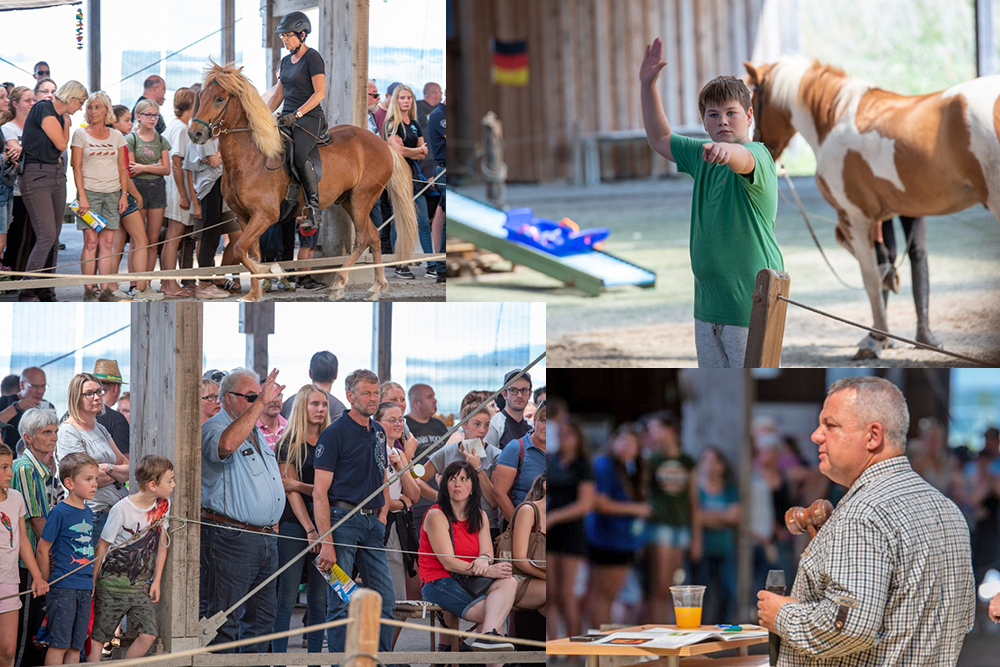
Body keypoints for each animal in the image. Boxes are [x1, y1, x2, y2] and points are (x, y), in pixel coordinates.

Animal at [188, 62, 418, 302]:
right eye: (201, 96)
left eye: (219, 99)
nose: (196, 133)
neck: (252, 157)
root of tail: (384, 144)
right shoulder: (245, 217)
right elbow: (249, 252)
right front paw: (254, 294)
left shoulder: (265, 215)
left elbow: (241, 249)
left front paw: (272, 270)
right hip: (349, 200)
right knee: (373, 237)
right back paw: (374, 286)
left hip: (362, 198)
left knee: (364, 238)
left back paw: (343, 283)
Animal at [744, 58, 1000, 360]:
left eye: (754, 98)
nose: (763, 148)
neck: (833, 120)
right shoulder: (875, 217)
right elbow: (876, 259)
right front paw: (887, 291)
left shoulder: (855, 216)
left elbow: (868, 276)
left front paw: (876, 338)